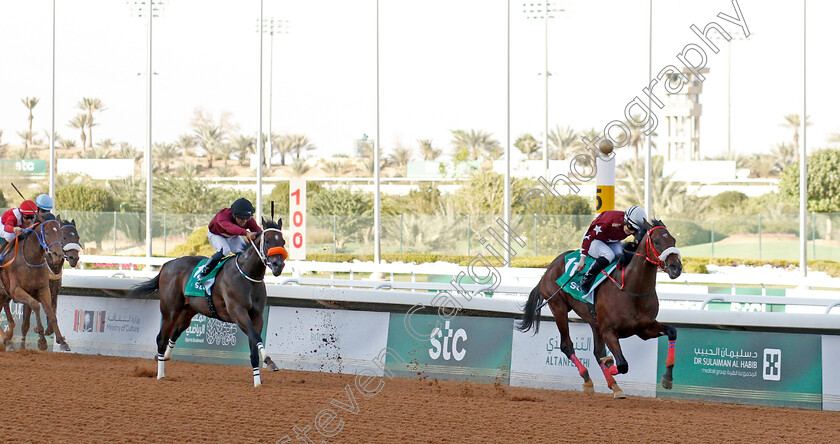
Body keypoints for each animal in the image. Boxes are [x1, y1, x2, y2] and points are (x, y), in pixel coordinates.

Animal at [0, 213, 68, 352]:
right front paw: (42, 340)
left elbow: (51, 314)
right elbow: (36, 305)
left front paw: (62, 342)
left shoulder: (43, 290)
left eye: (61, 234)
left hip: (3, 294)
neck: (31, 261)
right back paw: (7, 341)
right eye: (46, 233)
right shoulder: (16, 292)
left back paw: (9, 338)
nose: (58, 255)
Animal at [126, 218, 288, 386]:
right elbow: (256, 337)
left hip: (188, 311)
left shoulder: (257, 316)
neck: (247, 275)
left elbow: (254, 343)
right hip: (170, 310)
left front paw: (258, 381)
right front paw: (269, 361)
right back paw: (160, 374)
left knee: (176, 331)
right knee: (161, 338)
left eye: (282, 242)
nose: (278, 265)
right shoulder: (238, 312)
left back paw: (166, 356)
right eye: (267, 241)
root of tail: (167, 264)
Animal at [520, 220, 684, 398]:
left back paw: (615, 386)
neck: (631, 289)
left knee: (597, 352)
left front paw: (668, 378)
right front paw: (610, 362)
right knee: (567, 345)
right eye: (657, 241)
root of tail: (548, 268)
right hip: (558, 307)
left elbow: (672, 331)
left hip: (594, 322)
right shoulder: (609, 331)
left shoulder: (644, 329)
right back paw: (587, 379)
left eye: (674, 240)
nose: (676, 267)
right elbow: (622, 364)